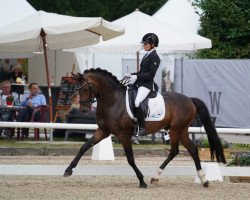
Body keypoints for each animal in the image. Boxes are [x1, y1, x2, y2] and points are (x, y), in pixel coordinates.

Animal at [64, 68, 227, 188]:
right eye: (77, 89)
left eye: (85, 89)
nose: (84, 109)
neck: (113, 101)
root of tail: (189, 99)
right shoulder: (103, 131)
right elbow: (84, 147)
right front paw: (68, 170)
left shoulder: (124, 135)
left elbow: (130, 158)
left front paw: (141, 181)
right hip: (180, 130)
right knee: (186, 150)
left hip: (177, 129)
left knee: (179, 150)